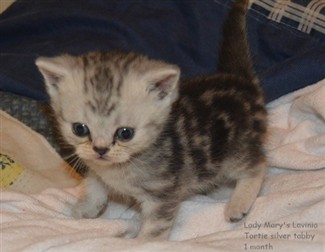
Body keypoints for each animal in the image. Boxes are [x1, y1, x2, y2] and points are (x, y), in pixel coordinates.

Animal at [35, 0, 266, 240]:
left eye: (125, 133)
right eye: (80, 129)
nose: (100, 150)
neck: (122, 165)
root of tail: (241, 81)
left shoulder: (163, 193)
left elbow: (155, 228)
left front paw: (143, 242)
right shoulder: (96, 168)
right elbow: (94, 185)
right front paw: (85, 209)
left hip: (234, 152)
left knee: (258, 165)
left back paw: (238, 203)